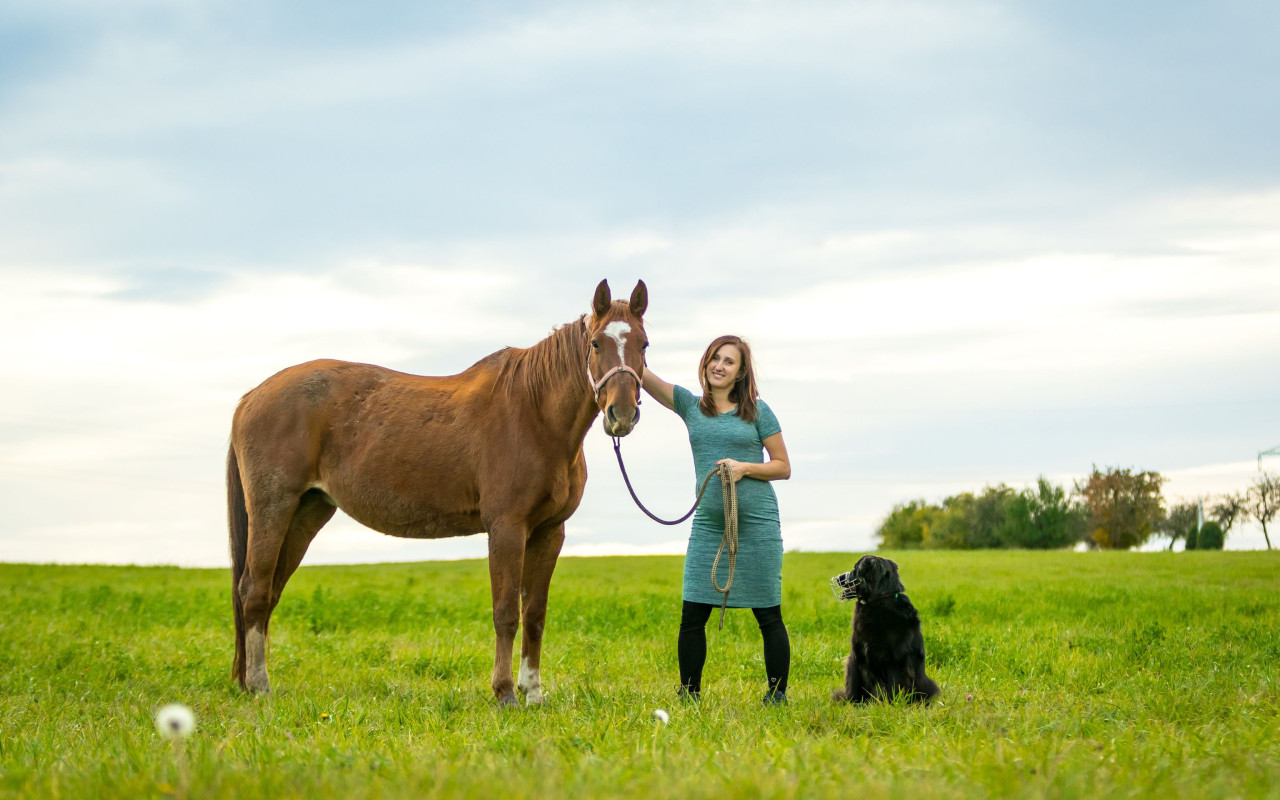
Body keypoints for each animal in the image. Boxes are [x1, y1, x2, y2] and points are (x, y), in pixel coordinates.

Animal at [226, 277, 650, 701]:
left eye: (644, 344)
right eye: (596, 343)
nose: (622, 413)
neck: (535, 414)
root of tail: (252, 396)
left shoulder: (548, 532)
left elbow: (534, 615)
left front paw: (533, 693)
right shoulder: (507, 529)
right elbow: (506, 613)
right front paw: (505, 693)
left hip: (307, 512)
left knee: (270, 590)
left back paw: (250, 681)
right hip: (273, 508)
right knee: (254, 590)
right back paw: (259, 686)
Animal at [829, 552, 942, 701]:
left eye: (855, 569)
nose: (838, 578)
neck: (880, 598)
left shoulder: (894, 662)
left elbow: (892, 687)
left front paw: (890, 705)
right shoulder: (856, 655)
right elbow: (853, 684)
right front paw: (850, 703)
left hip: (927, 684)